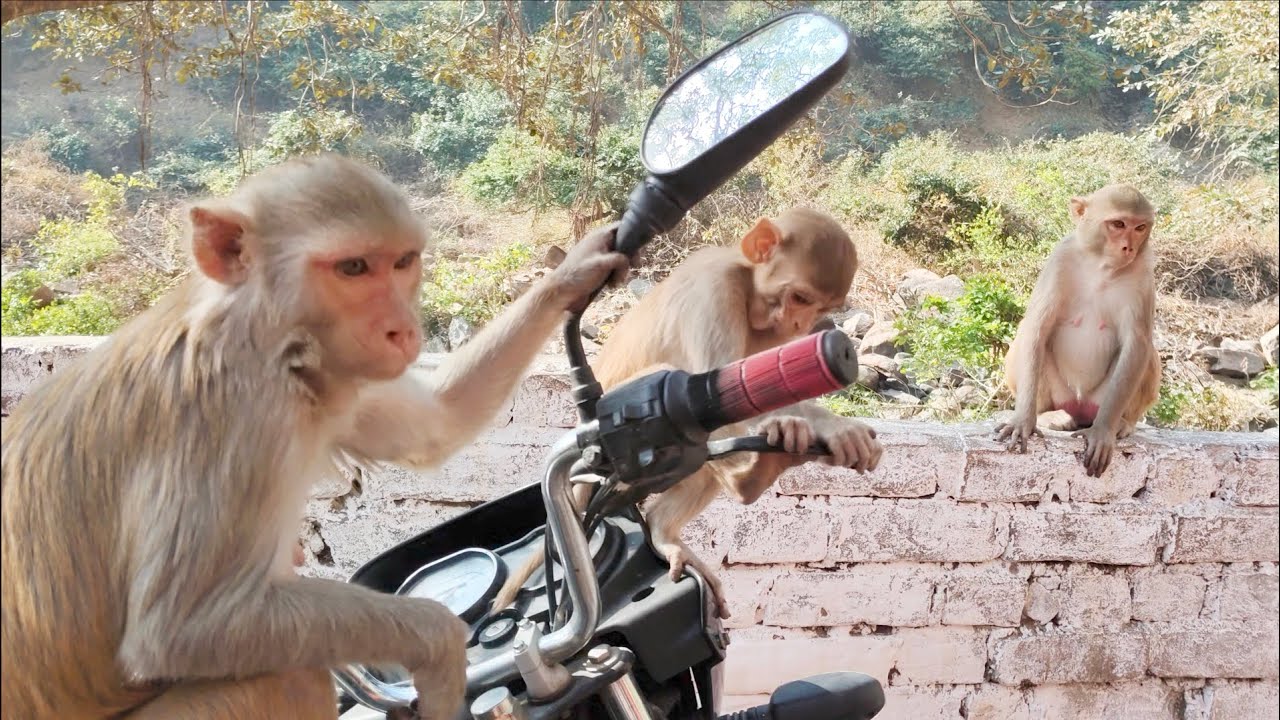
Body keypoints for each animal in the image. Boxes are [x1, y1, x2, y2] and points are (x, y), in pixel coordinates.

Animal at [0, 153, 629, 720]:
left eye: (403, 262)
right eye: (352, 268)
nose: (404, 330)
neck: (275, 341)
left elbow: (437, 424)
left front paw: (575, 270)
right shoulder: (233, 413)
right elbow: (176, 631)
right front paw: (438, 644)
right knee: (283, 673)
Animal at [491, 207, 883, 617]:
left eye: (820, 308)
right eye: (800, 297)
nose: (800, 324)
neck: (747, 287)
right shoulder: (715, 288)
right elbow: (719, 382)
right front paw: (835, 429)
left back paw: (670, 524)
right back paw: (751, 476)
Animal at [994, 183, 1161, 478]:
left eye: (1140, 227)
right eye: (1118, 224)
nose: (1128, 247)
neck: (1101, 266)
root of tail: (1081, 408)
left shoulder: (1143, 271)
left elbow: (1137, 343)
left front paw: (1103, 431)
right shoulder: (1061, 258)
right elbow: (1037, 326)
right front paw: (1023, 420)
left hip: (1100, 400)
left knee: (1147, 352)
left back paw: (1121, 423)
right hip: (1063, 395)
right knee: (1025, 337)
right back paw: (1048, 415)